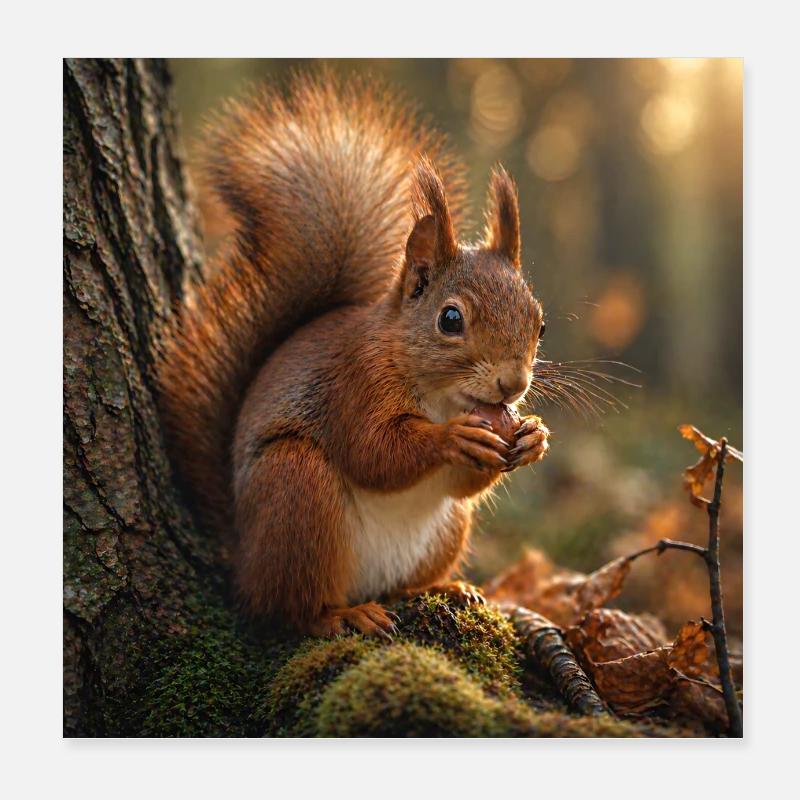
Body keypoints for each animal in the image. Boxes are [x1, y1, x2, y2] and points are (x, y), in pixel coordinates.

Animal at [157, 72, 549, 638]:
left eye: (540, 322)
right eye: (450, 320)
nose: (513, 385)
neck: (442, 396)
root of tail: (243, 555)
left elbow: (463, 486)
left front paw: (534, 437)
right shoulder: (354, 382)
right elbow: (373, 453)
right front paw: (451, 438)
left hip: (443, 532)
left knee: (404, 576)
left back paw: (443, 588)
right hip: (297, 488)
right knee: (287, 608)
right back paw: (342, 615)